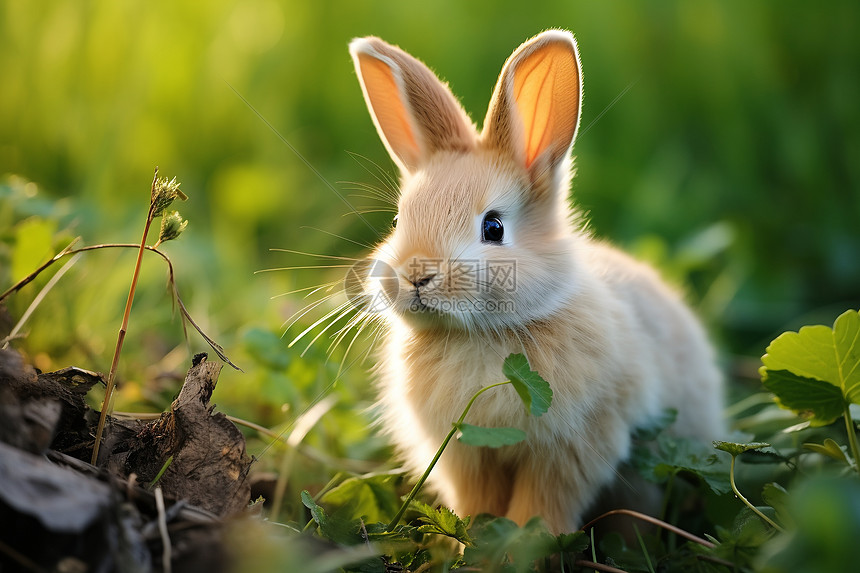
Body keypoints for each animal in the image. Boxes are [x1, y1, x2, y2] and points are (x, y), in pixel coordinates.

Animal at [346, 30, 724, 532]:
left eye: (493, 228)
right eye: (397, 220)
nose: (416, 277)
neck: (480, 334)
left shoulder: (571, 448)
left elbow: (543, 506)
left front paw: (520, 542)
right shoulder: (466, 454)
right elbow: (477, 501)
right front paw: (470, 540)